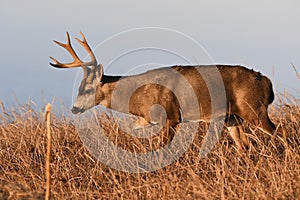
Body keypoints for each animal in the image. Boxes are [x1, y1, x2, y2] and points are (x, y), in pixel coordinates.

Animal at [49, 32, 278, 152]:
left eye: (87, 88)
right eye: (79, 87)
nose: (74, 108)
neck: (137, 96)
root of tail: (267, 82)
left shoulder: (171, 116)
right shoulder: (147, 119)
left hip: (254, 109)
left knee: (276, 131)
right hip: (232, 117)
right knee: (244, 145)